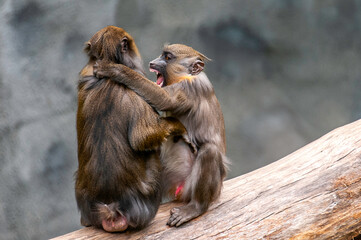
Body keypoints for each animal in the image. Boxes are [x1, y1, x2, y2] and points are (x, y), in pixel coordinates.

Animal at [94, 43, 226, 227]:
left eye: (168, 57)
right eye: (161, 55)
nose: (152, 62)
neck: (186, 76)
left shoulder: (190, 89)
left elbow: (164, 99)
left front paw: (112, 69)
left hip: (192, 184)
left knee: (209, 151)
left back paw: (196, 207)